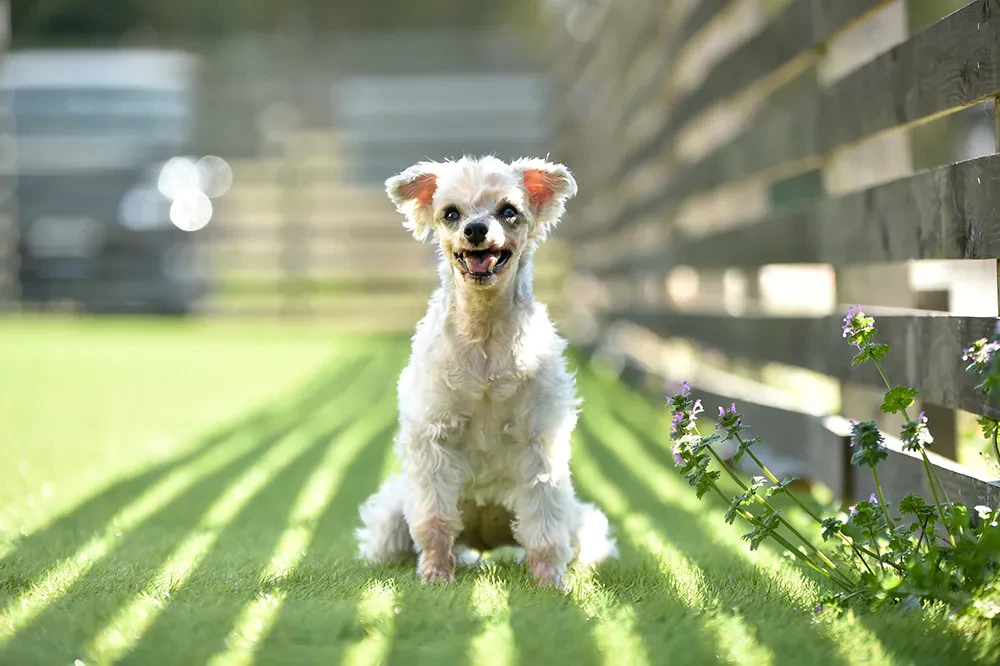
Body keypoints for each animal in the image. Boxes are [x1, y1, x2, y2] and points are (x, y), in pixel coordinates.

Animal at [352, 156, 616, 588]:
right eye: (450, 213)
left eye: (508, 211)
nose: (475, 229)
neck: (484, 332)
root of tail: (483, 540)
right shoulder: (433, 441)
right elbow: (435, 522)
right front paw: (435, 575)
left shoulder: (539, 445)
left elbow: (544, 526)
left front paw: (549, 582)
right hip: (390, 520)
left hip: (581, 524)